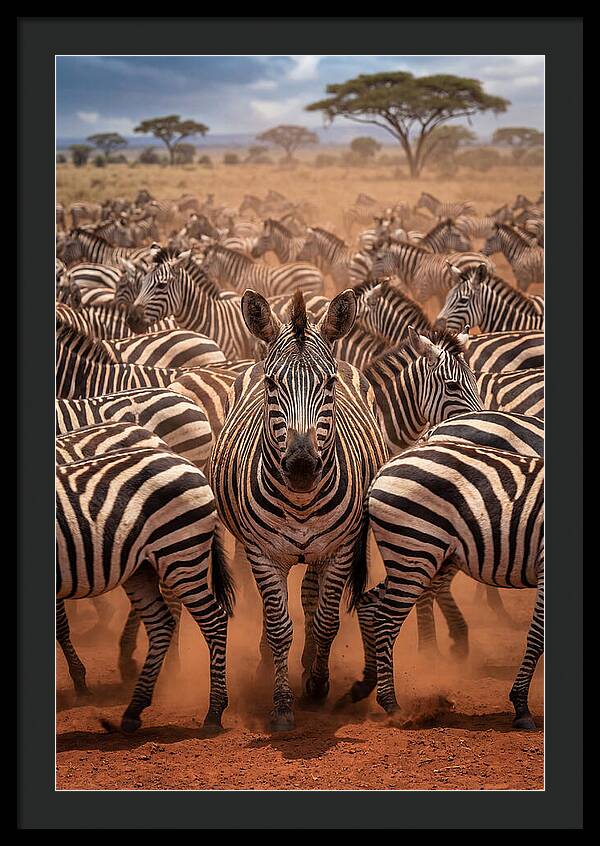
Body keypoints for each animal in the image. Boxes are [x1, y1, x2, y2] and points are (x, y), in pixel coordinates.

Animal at [57, 445, 235, 732]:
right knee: (161, 622)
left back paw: (214, 712)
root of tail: (187, 463)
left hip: (180, 553)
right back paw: (134, 708)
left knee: (214, 620)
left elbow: (60, 625)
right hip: (143, 568)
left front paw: (80, 683)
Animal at [209, 289, 389, 730]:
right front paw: (282, 704)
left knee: (311, 594)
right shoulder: (262, 553)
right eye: (273, 384)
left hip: (324, 550)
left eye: (329, 384)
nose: (303, 467)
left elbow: (326, 620)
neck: (302, 502)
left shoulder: (341, 549)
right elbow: (278, 626)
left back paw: (309, 664)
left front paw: (318, 684)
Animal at [351, 442, 544, 730]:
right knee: (385, 620)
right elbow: (537, 636)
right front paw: (521, 707)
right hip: (415, 550)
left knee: (368, 604)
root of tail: (385, 468)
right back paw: (392, 705)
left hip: (416, 557)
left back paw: (365, 683)